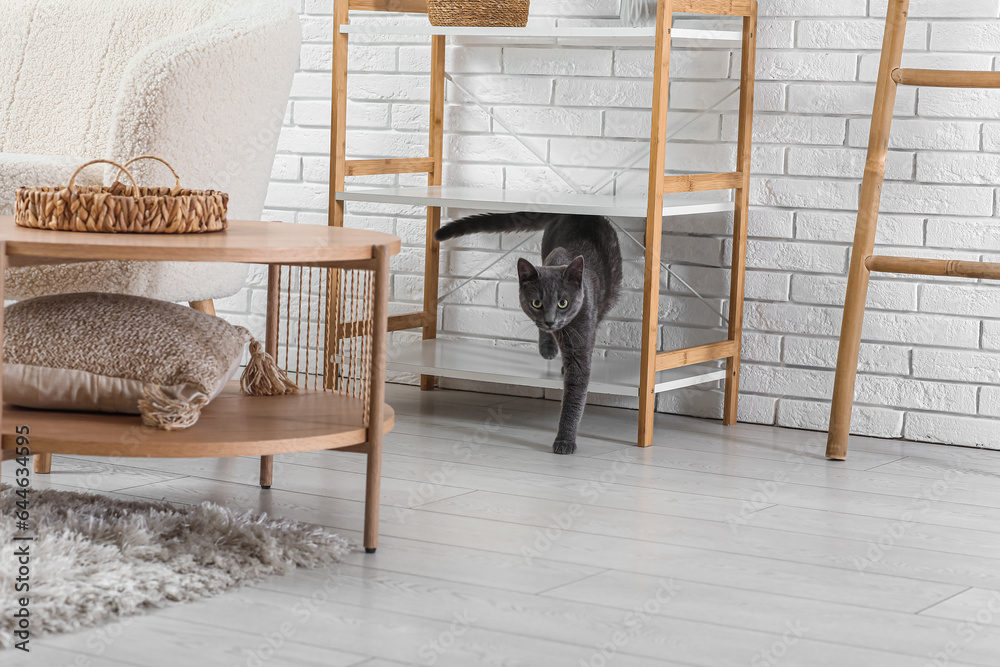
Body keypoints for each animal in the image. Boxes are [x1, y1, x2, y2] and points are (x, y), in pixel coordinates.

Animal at [436, 211, 620, 456]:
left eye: (563, 303)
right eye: (536, 303)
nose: (550, 320)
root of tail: (576, 213)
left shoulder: (581, 336)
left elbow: (575, 392)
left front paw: (564, 441)